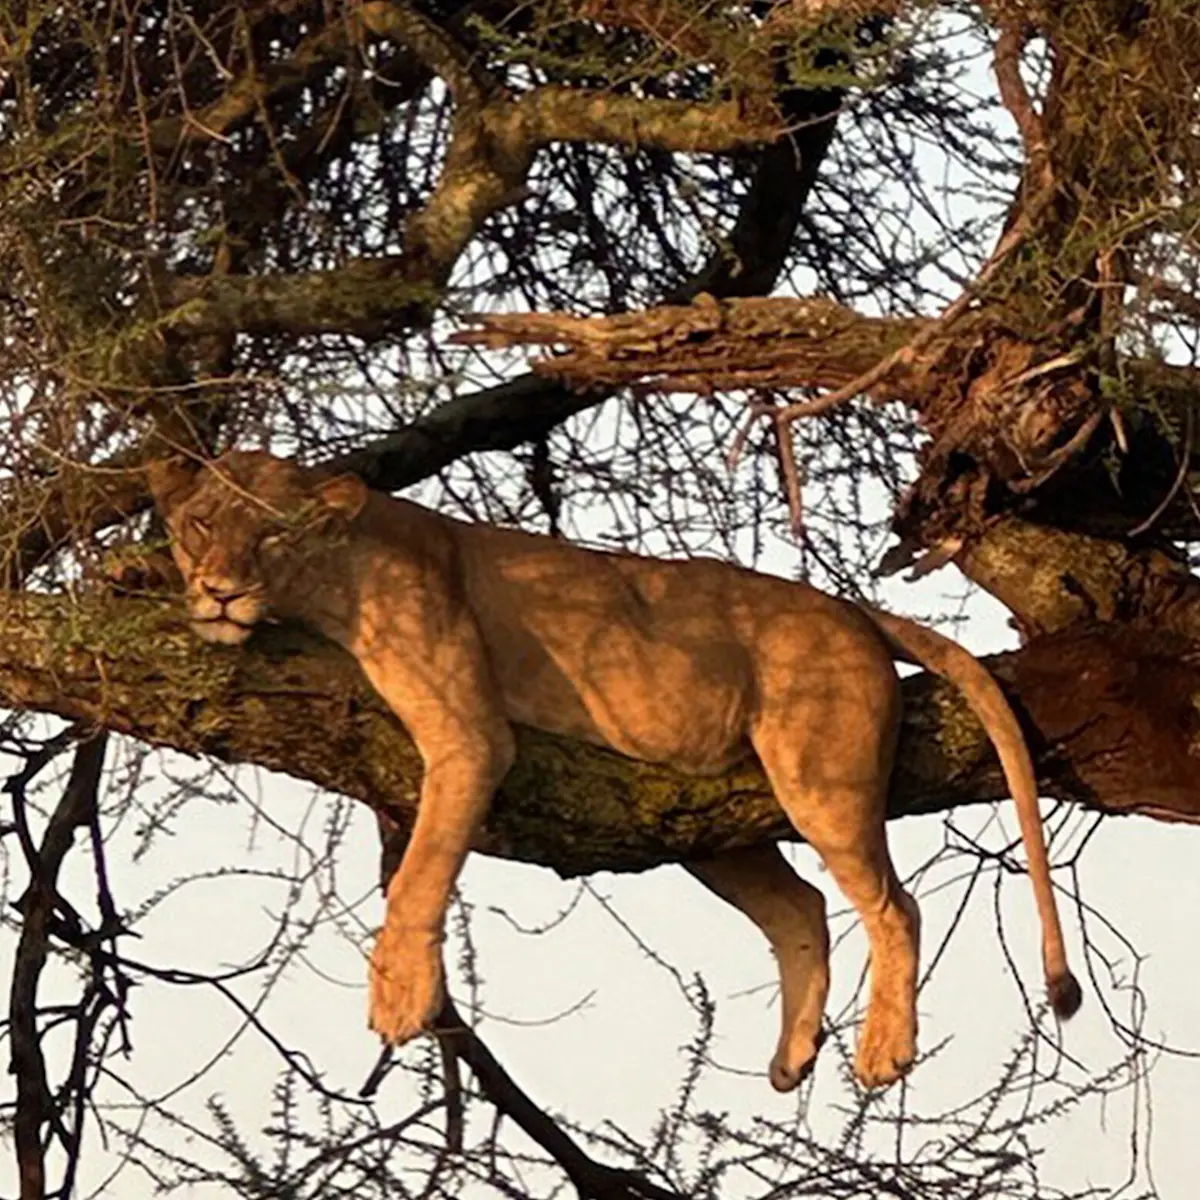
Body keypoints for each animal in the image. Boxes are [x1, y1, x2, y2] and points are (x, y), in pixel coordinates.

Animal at [149, 450, 1080, 1091]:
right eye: (200, 526)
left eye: (272, 533)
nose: (221, 589)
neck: (336, 573)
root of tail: (846, 606)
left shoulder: (468, 734)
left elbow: (420, 875)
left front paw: (401, 997)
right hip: (706, 828)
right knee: (801, 906)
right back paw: (792, 1054)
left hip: (822, 772)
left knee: (893, 904)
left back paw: (883, 1049)